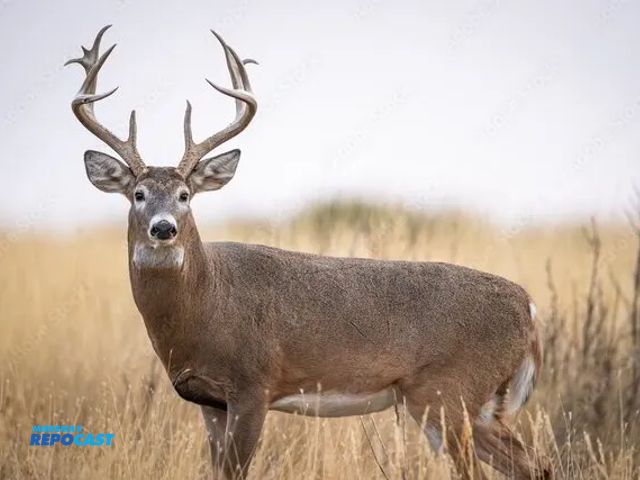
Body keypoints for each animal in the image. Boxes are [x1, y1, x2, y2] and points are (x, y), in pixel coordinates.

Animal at [66, 26, 551, 480]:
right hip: (473, 404)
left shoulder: (253, 384)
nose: (163, 228)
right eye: (138, 194)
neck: (206, 302)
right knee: (536, 464)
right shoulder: (209, 401)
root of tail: (528, 307)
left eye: (185, 195)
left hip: (448, 392)